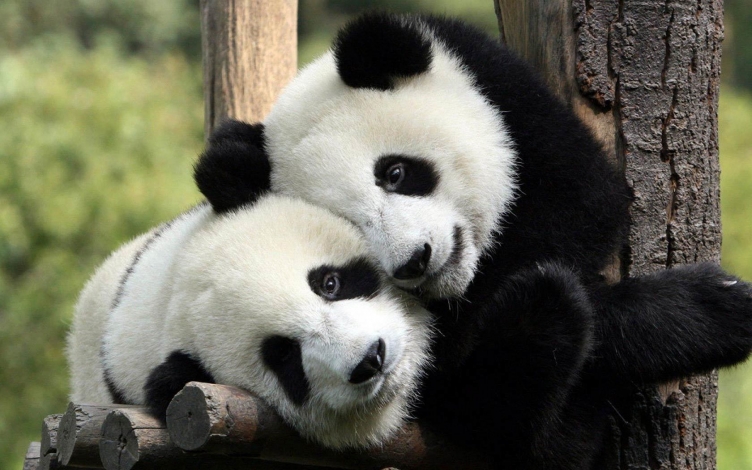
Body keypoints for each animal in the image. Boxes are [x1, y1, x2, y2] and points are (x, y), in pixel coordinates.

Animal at [193, 13, 752, 469]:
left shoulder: (507, 98)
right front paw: (706, 309)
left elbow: (586, 204)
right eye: (352, 227)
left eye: (395, 172)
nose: (415, 261)